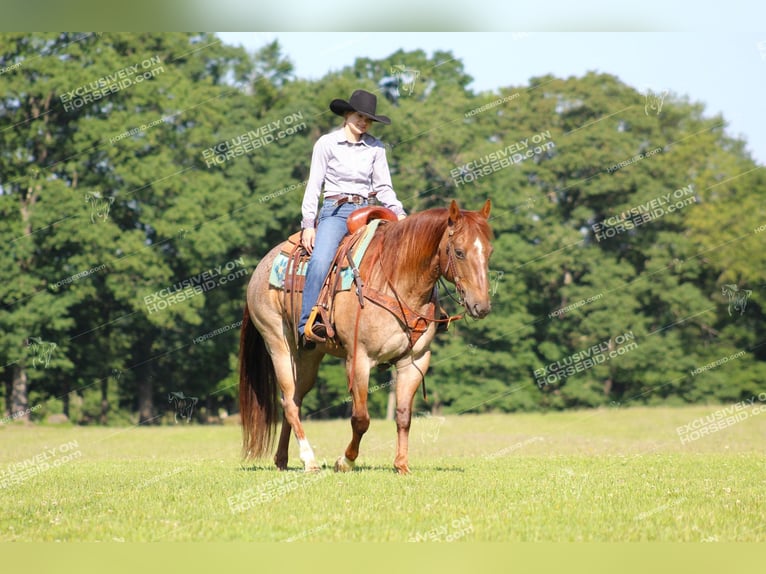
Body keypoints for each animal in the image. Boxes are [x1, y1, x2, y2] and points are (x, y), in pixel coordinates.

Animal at [237, 200, 496, 474]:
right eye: (459, 252)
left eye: (489, 252)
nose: (481, 306)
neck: (396, 280)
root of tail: (262, 266)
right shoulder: (359, 359)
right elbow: (361, 419)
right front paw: (345, 461)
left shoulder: (415, 361)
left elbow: (403, 415)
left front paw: (401, 465)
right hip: (279, 344)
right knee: (288, 400)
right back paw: (309, 459)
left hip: (308, 355)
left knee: (294, 399)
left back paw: (283, 459)